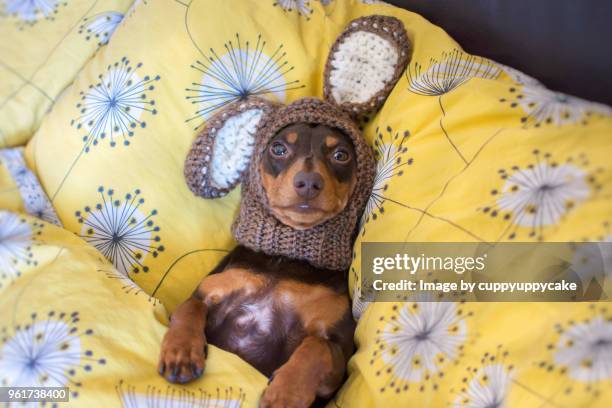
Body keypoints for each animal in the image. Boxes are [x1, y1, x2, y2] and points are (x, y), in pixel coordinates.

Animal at [160, 122, 356, 406]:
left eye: (341, 155)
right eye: (278, 149)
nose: (308, 182)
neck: (287, 259)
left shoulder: (338, 355)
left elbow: (316, 347)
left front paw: (286, 395)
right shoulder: (209, 291)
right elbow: (189, 308)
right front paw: (181, 351)